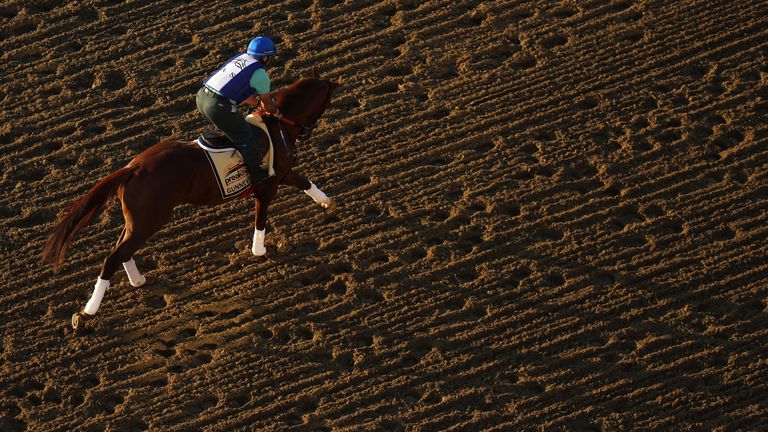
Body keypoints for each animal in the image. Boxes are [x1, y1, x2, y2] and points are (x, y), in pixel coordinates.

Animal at [42, 71, 340, 330]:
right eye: (326, 102)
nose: (308, 131)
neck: (278, 129)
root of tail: (133, 168)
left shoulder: (284, 175)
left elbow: (305, 183)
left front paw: (328, 203)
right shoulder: (269, 186)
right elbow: (262, 218)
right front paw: (259, 250)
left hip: (136, 220)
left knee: (121, 250)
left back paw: (137, 280)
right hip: (150, 219)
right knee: (113, 257)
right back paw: (87, 313)